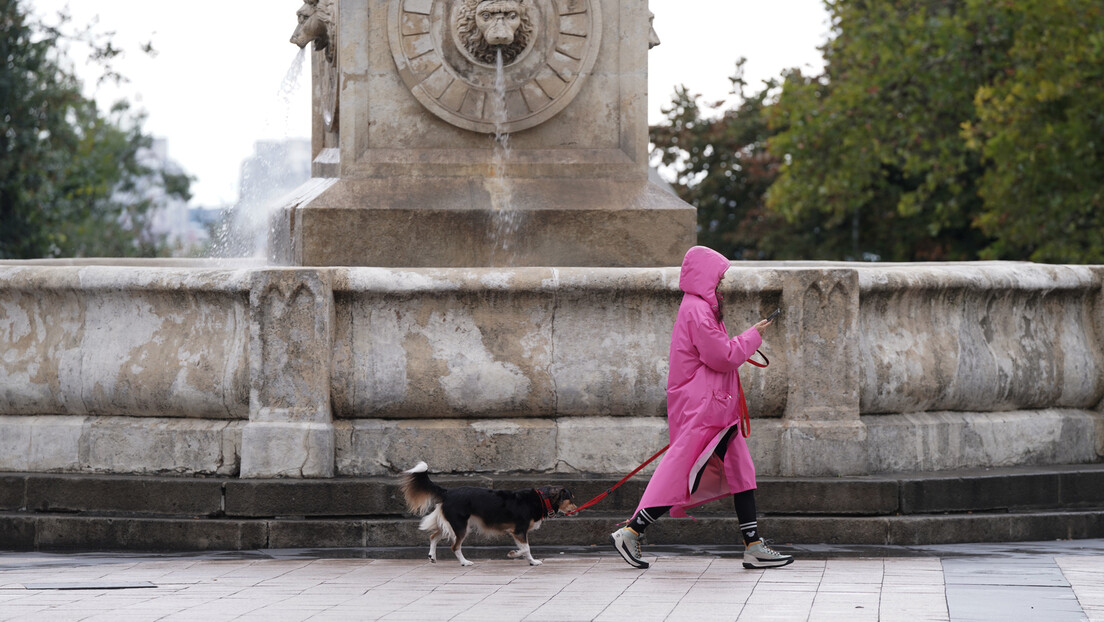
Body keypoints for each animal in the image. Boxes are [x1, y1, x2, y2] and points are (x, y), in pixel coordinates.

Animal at [404, 459, 578, 565]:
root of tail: (448, 492)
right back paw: (464, 562)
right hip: (460, 526)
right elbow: (526, 548)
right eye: (570, 499)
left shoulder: (517, 532)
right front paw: (517, 555)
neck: (542, 498)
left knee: (433, 536)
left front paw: (527, 560)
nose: (577, 509)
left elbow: (525, 549)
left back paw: (432, 557)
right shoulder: (519, 530)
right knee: (454, 546)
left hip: (454, 524)